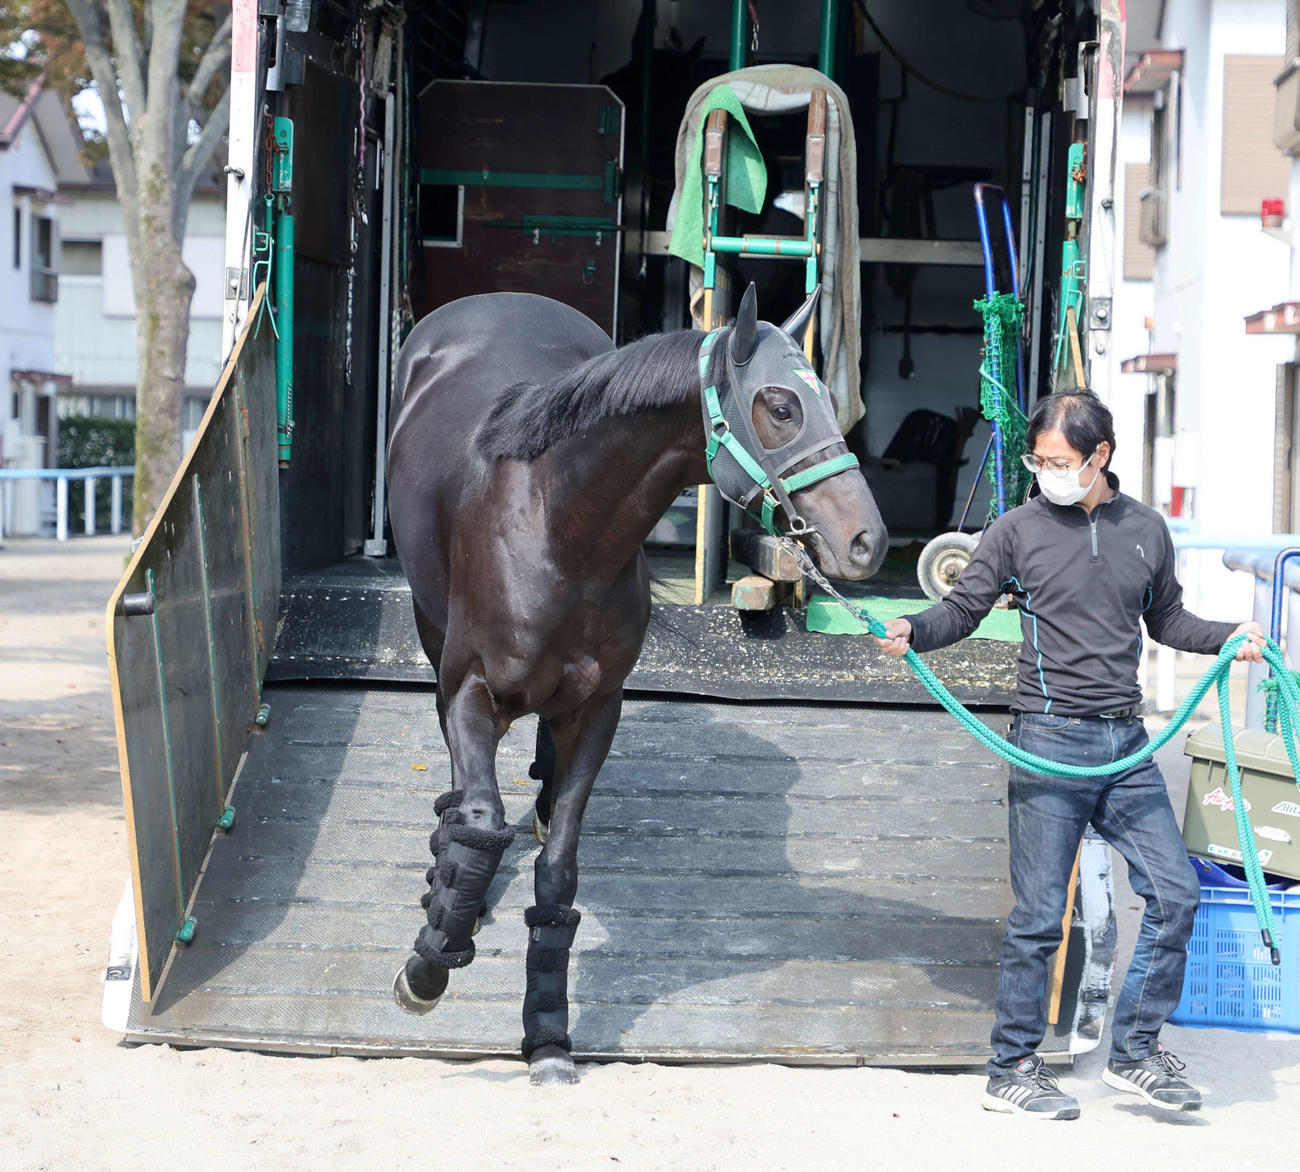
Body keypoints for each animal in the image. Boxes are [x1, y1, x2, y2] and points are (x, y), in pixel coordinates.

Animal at [385, 283, 887, 1084]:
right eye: (780, 406)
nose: (867, 542)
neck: (555, 529)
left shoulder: (597, 711)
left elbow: (558, 870)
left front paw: (548, 1034)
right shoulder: (470, 693)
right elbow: (481, 823)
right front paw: (428, 965)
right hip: (430, 626)